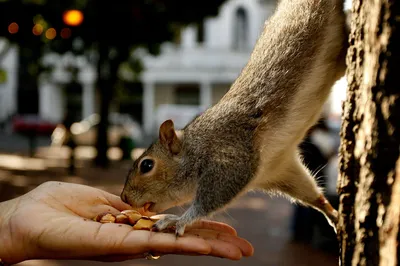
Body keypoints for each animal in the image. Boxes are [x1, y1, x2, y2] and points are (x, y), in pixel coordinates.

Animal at [120, 0, 348, 237]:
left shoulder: (231, 157)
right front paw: (332, 214)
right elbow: (309, 192)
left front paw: (178, 219)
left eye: (147, 165)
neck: (197, 147)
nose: (124, 197)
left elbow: (210, 200)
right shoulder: (279, 169)